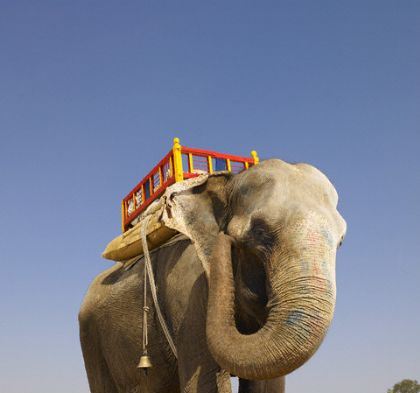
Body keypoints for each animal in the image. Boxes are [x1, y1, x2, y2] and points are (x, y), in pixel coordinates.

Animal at [78, 158, 344, 392]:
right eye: (259, 232)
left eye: (341, 241)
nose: (225, 240)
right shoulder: (188, 293)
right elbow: (204, 381)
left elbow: (267, 382)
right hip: (91, 337)